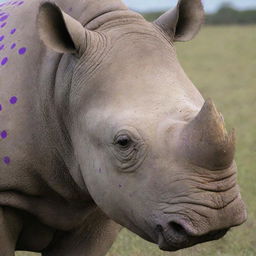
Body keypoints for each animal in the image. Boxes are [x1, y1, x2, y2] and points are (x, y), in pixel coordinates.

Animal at [0, 0, 248, 255]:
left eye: (220, 118)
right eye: (123, 143)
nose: (216, 218)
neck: (63, 79)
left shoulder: (108, 195)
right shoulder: (6, 193)